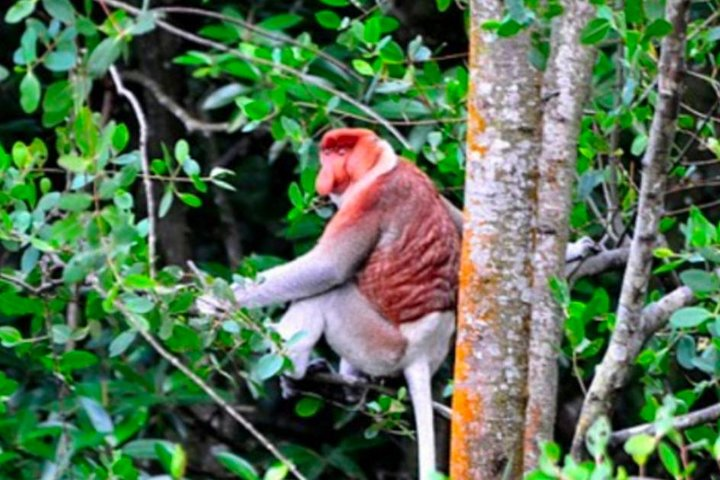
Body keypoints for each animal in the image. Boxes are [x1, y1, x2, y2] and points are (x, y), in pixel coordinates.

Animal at [199, 128, 460, 480]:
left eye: (343, 152)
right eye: (328, 152)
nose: (327, 170)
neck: (381, 166)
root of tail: (422, 352)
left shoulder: (370, 201)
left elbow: (328, 268)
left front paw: (214, 302)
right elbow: (462, 222)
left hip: (382, 346)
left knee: (327, 295)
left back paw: (295, 371)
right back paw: (348, 386)